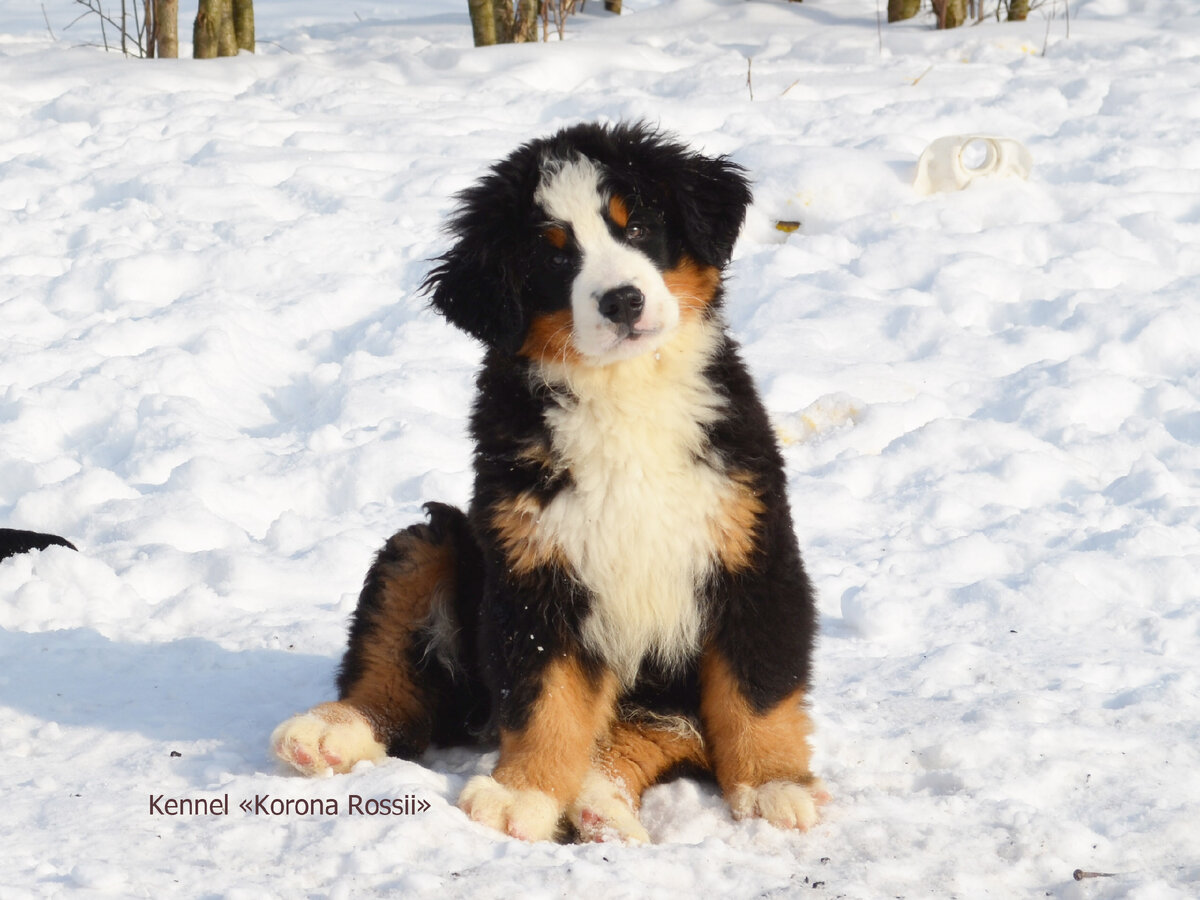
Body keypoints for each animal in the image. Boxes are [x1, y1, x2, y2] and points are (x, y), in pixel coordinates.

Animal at [274, 121, 825, 844]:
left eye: (639, 225)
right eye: (555, 259)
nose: (622, 300)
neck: (624, 397)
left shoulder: (750, 551)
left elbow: (757, 689)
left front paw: (773, 785)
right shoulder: (534, 573)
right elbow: (545, 700)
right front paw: (525, 793)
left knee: (648, 731)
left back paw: (602, 804)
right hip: (427, 546)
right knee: (397, 676)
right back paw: (330, 732)